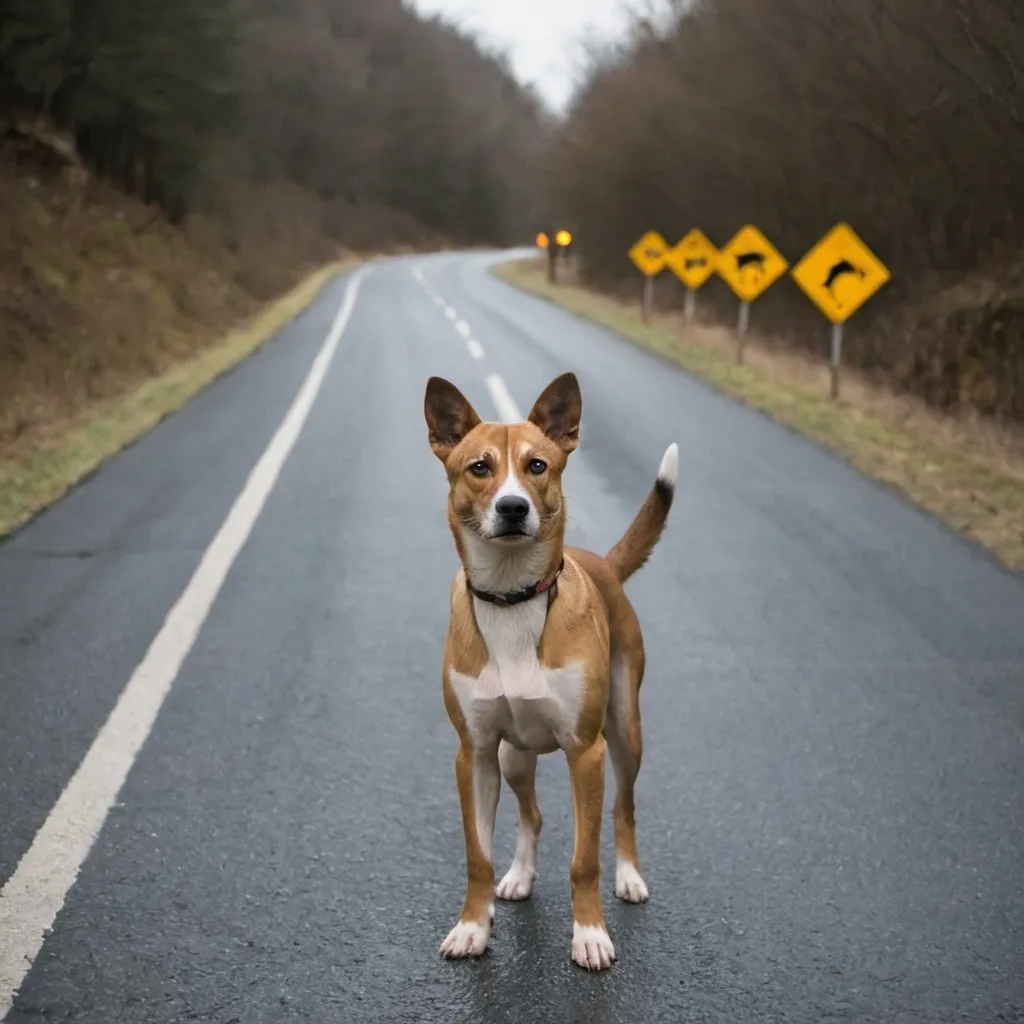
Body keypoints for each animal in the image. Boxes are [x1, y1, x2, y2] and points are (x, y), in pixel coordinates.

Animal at [419, 372, 675, 970]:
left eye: (538, 465)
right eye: (479, 467)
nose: (513, 507)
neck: (513, 597)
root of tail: (604, 563)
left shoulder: (587, 753)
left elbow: (585, 860)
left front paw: (590, 934)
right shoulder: (475, 754)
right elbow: (477, 856)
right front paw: (474, 926)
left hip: (624, 731)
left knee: (623, 809)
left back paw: (629, 877)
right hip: (513, 757)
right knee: (531, 815)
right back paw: (519, 876)